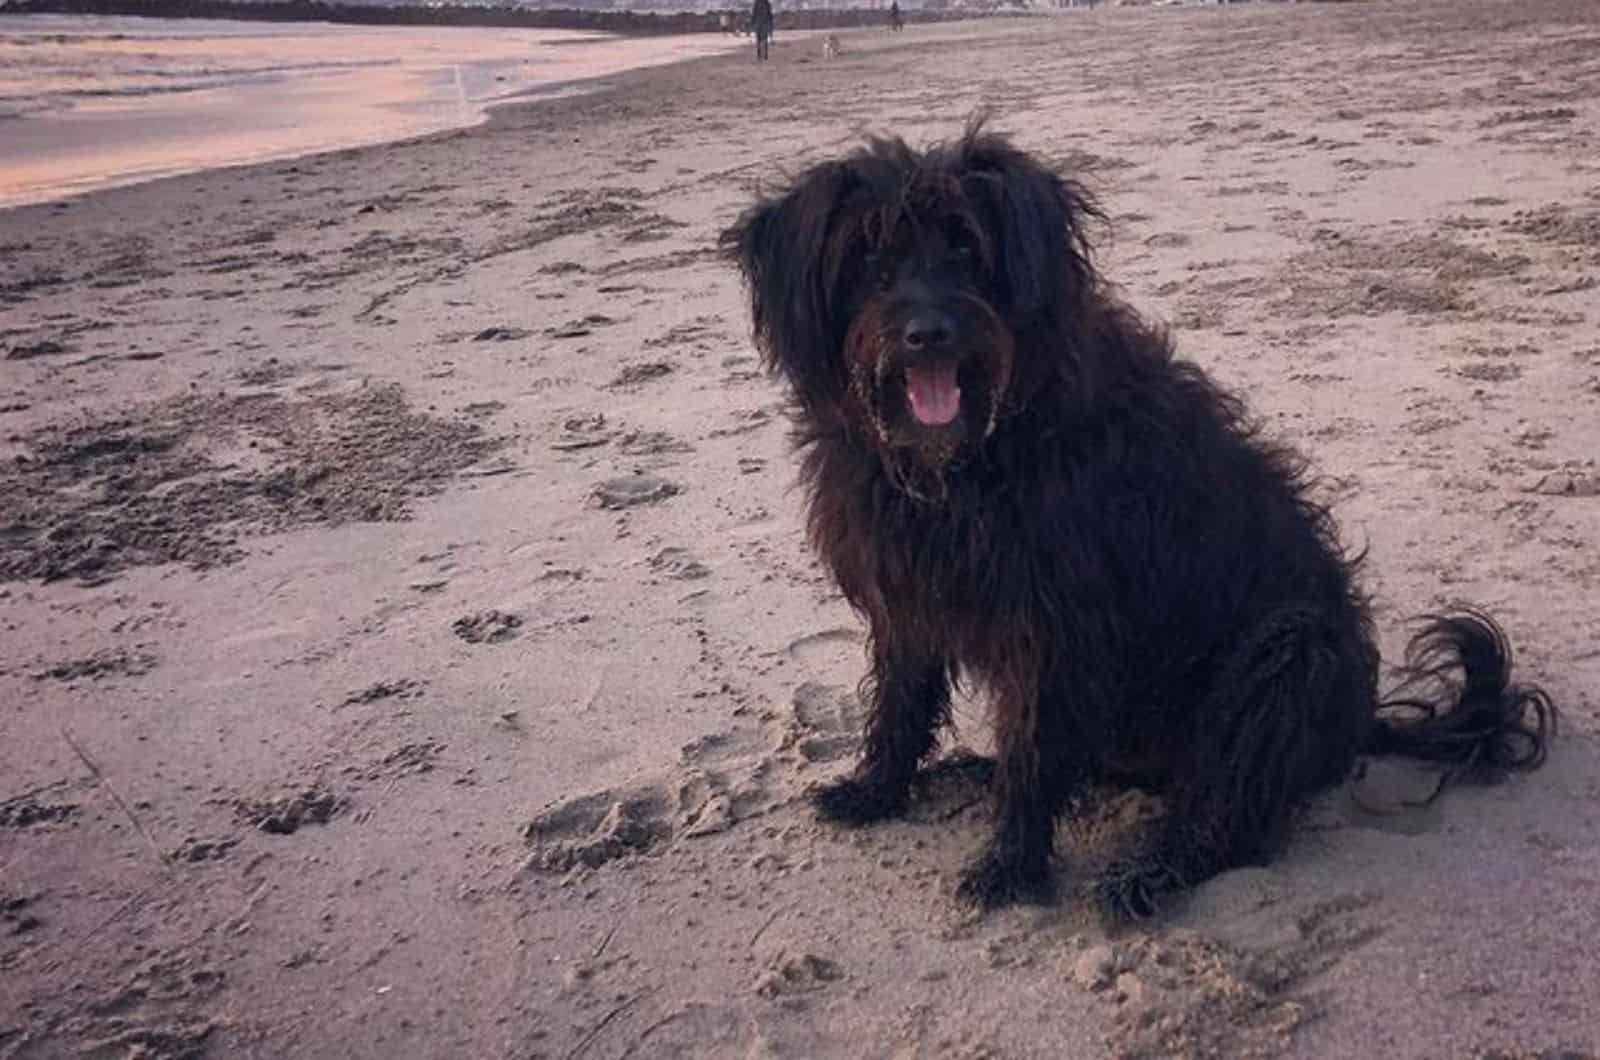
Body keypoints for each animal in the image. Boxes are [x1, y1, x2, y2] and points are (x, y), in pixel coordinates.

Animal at [723, 122, 1548, 922]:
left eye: (965, 246)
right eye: (869, 256)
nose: (929, 333)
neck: (967, 461)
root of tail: (1358, 724)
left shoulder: (1052, 628)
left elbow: (1031, 750)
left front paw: (1012, 866)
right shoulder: (906, 596)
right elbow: (901, 703)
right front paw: (878, 790)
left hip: (1289, 653)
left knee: (1230, 817)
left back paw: (1154, 869)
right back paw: (971, 773)